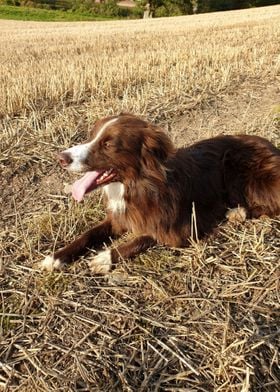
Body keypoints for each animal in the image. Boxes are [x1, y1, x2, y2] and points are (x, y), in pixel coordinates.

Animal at [40, 113, 280, 272]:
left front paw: (104, 258)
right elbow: (88, 234)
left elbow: (143, 239)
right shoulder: (119, 218)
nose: (61, 158)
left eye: (108, 144)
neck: (136, 185)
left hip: (239, 168)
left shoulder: (180, 229)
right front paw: (56, 257)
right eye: (91, 137)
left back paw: (238, 212)